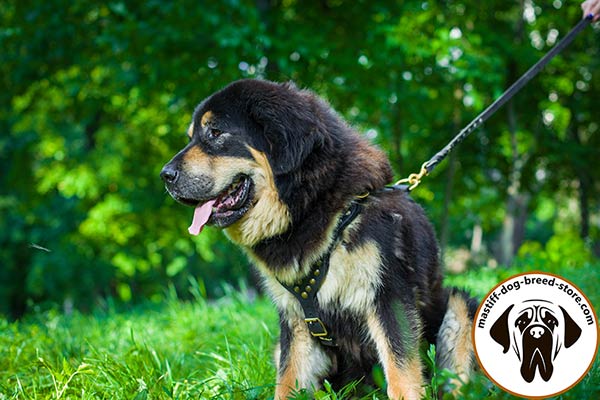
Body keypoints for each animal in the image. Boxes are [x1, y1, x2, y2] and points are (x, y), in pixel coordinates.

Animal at [161, 79, 478, 400]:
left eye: (215, 132)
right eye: (191, 137)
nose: (165, 175)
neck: (317, 208)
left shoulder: (389, 299)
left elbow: (402, 374)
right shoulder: (295, 321)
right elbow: (287, 380)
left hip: (460, 306)